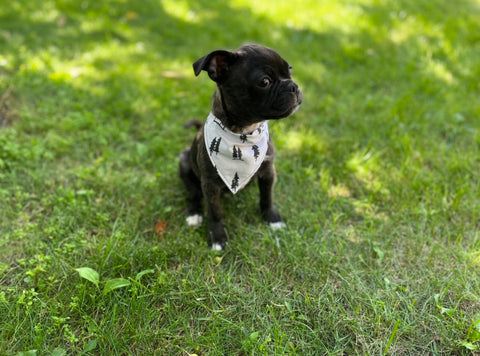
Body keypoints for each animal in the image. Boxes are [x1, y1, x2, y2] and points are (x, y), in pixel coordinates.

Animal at [178, 43, 302, 250]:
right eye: (264, 82)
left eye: (290, 70)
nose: (293, 86)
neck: (244, 133)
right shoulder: (210, 185)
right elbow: (215, 211)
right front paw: (217, 237)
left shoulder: (268, 172)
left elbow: (267, 197)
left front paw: (272, 218)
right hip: (184, 162)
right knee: (193, 193)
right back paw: (194, 214)